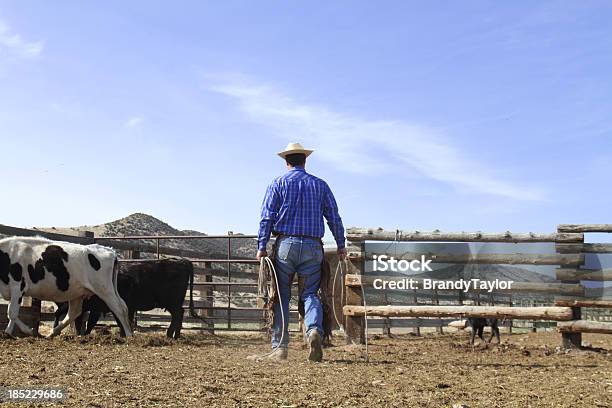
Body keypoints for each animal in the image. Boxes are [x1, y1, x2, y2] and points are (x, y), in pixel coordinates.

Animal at [0, 236, 133, 338]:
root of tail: (109, 250)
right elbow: (11, 313)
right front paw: (12, 332)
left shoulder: (18, 287)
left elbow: (12, 312)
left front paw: (21, 331)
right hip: (79, 293)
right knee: (74, 313)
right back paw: (52, 333)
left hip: (104, 289)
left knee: (119, 308)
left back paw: (129, 335)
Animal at [55, 260, 194, 340]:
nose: (77, 333)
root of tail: (182, 261)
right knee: (180, 314)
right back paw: (176, 335)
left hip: (171, 301)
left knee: (178, 314)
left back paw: (170, 335)